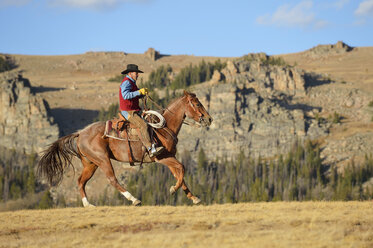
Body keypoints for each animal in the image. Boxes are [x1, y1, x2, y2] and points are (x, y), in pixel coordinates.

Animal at [38, 90, 212, 206]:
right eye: (197, 104)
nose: (209, 119)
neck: (163, 128)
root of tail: (80, 133)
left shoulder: (169, 157)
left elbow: (179, 173)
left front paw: (193, 197)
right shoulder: (161, 157)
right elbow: (181, 169)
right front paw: (173, 190)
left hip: (91, 163)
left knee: (81, 181)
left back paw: (88, 205)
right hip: (103, 160)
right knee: (112, 179)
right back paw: (134, 199)